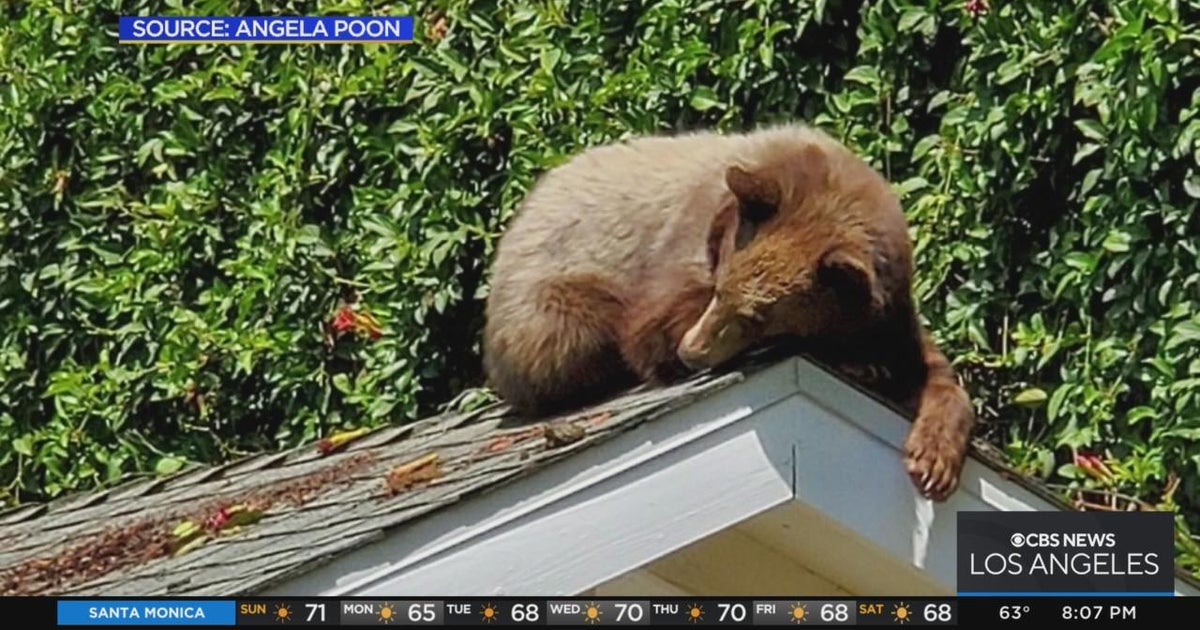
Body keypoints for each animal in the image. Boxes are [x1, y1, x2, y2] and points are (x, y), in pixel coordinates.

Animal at [482, 123, 975, 501]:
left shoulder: (886, 306)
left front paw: (933, 459)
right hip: (547, 298)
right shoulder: (687, 235)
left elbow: (924, 364)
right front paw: (862, 365)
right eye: (720, 292)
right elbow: (653, 324)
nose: (692, 352)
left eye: (757, 318)